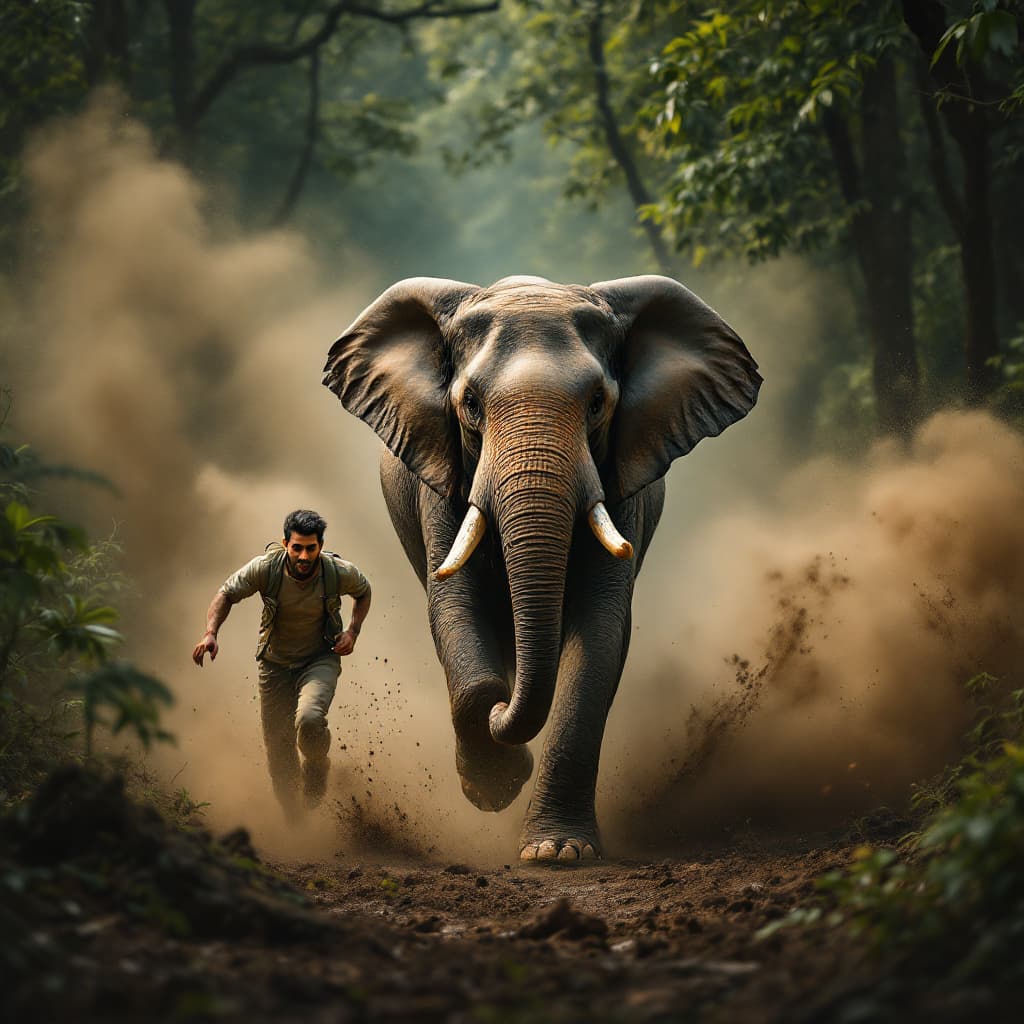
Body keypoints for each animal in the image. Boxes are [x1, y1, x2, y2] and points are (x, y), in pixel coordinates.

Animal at [323, 274, 760, 862]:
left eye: (598, 403)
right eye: (469, 404)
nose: (502, 718)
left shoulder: (620, 485)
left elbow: (601, 631)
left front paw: (556, 852)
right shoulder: (439, 483)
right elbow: (455, 610)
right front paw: (495, 780)